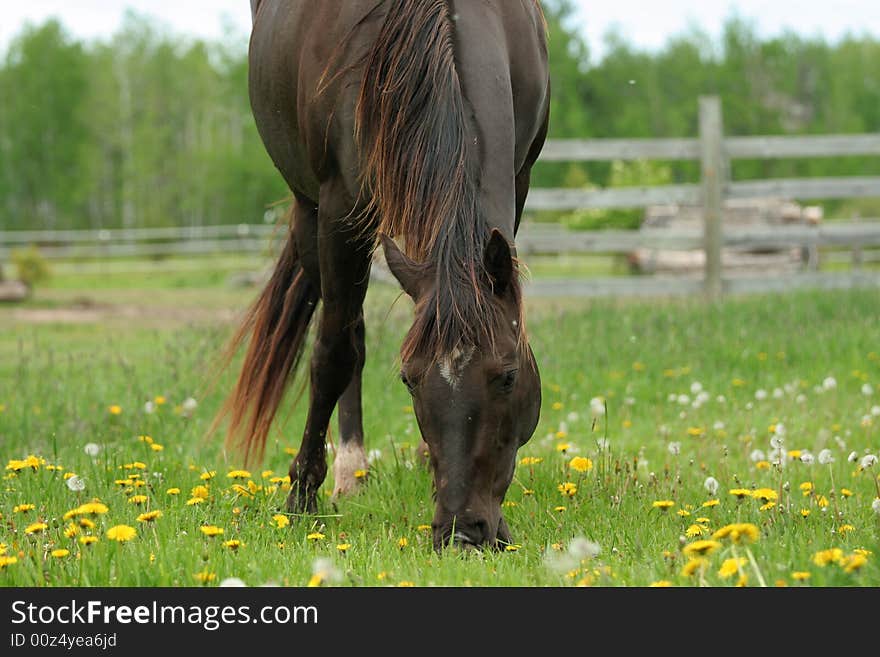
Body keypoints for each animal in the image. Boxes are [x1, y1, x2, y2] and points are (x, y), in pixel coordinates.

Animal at [218, 0, 552, 552]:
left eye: (508, 376)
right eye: (408, 380)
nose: (462, 532)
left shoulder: (520, 180)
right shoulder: (338, 208)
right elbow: (334, 351)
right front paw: (301, 495)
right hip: (312, 210)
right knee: (344, 333)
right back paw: (348, 471)